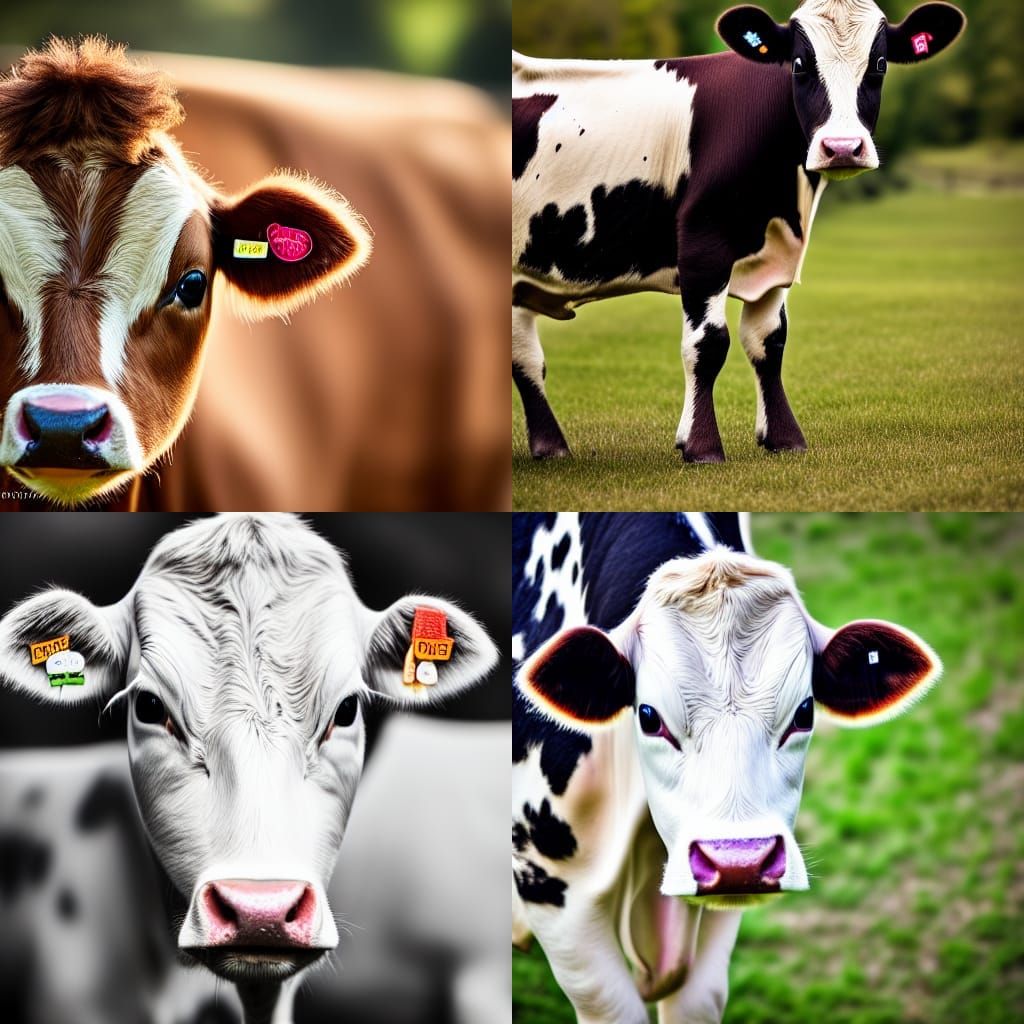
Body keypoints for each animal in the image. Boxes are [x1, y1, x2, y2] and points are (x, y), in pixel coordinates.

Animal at [512, 2, 966, 461]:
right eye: (799, 64)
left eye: (879, 64)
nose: (842, 147)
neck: (785, 202)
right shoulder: (702, 244)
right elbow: (707, 343)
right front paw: (701, 445)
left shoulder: (778, 255)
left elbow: (770, 341)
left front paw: (784, 437)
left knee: (523, 353)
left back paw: (550, 446)